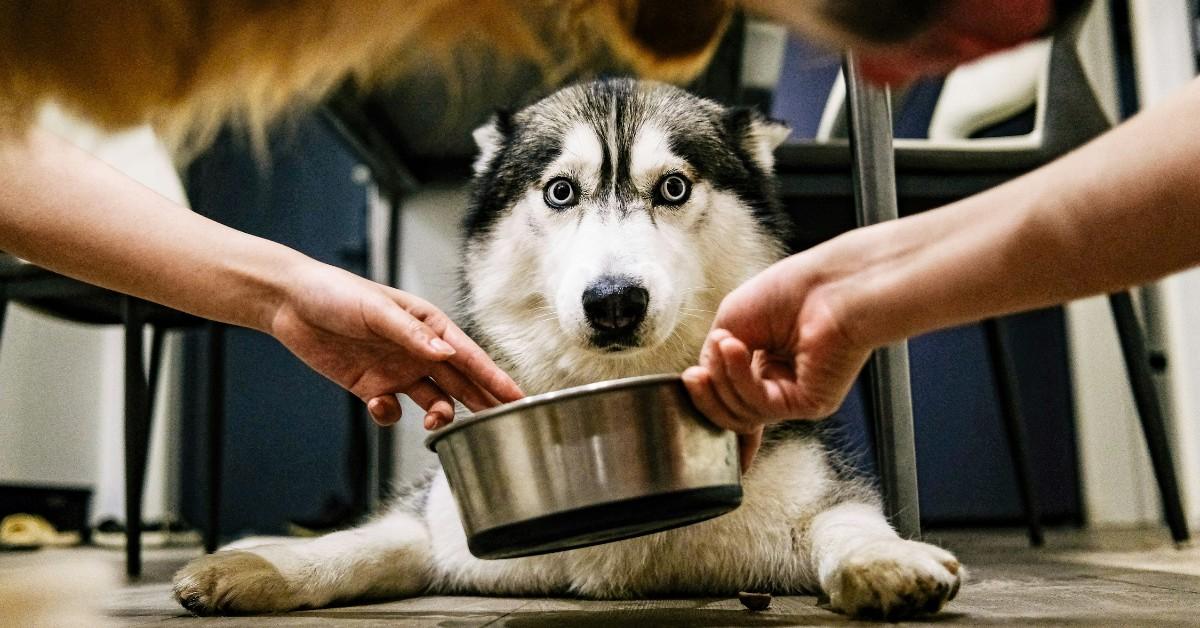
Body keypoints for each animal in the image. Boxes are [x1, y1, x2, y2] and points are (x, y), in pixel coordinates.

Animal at [174, 79, 960, 624]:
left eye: (674, 186)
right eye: (559, 191)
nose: (613, 300)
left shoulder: (817, 494)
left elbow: (848, 520)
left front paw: (887, 560)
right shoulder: (439, 525)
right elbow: (367, 543)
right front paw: (266, 569)